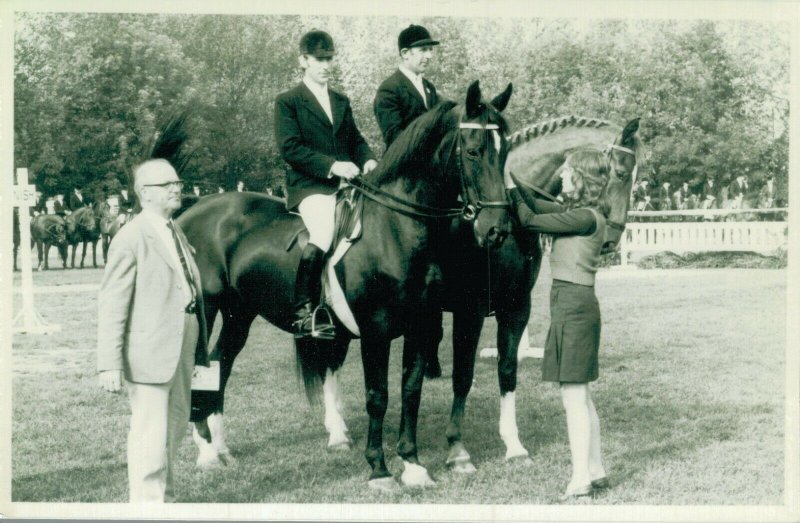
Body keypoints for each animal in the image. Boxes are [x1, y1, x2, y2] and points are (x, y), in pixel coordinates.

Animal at [178, 81, 510, 492]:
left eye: (505, 150)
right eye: (474, 151)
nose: (497, 230)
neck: (395, 229)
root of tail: (190, 211)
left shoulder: (421, 325)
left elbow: (411, 391)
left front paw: (413, 465)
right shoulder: (376, 331)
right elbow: (378, 396)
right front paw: (380, 470)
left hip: (240, 313)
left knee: (220, 363)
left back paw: (220, 447)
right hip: (206, 311)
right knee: (202, 366)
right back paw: (206, 451)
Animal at [424, 116, 644, 472]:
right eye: (622, 174)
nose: (610, 240)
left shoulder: (516, 307)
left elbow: (507, 370)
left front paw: (513, 445)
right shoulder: (470, 311)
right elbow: (463, 375)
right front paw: (457, 450)